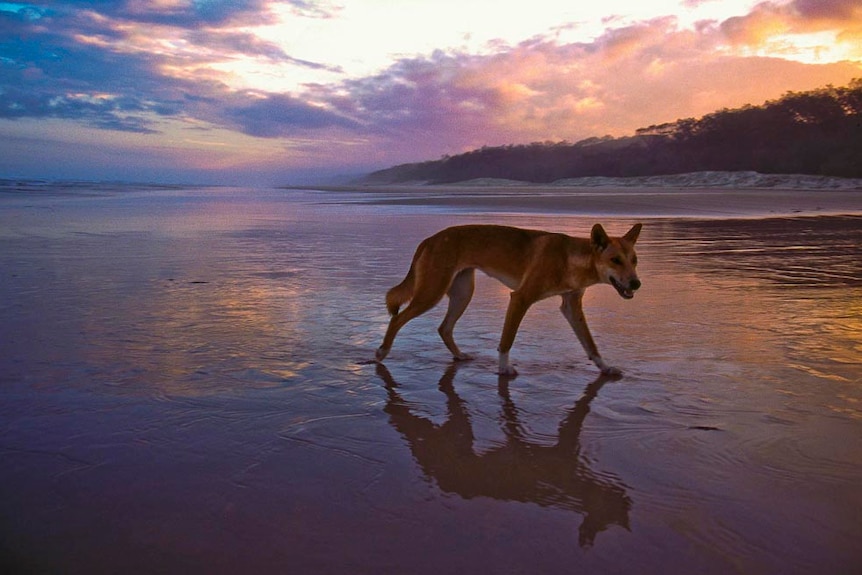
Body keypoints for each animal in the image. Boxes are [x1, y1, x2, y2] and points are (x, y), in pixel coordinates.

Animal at [374, 223, 644, 376]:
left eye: (634, 260)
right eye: (615, 260)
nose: (636, 284)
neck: (570, 259)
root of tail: (429, 239)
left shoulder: (571, 306)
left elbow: (590, 344)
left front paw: (605, 367)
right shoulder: (520, 298)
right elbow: (507, 339)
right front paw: (504, 369)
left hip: (462, 294)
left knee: (444, 328)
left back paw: (459, 355)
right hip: (432, 292)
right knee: (397, 319)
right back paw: (382, 352)